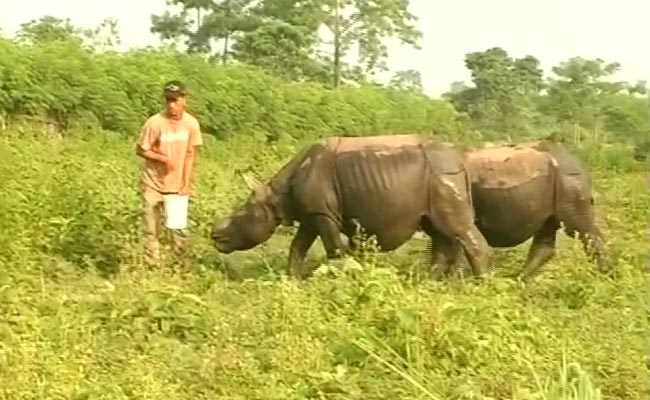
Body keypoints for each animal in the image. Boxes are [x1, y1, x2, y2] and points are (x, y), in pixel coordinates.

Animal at [210, 134, 491, 279]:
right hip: (438, 178)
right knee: (438, 232)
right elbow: (297, 248)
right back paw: (429, 283)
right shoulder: (313, 214)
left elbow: (334, 250)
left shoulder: (323, 213)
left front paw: (339, 279)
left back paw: (481, 284)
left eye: (240, 215)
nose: (214, 236)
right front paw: (291, 280)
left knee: (456, 229)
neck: (276, 195)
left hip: (442, 175)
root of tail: (461, 159)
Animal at [430, 140, 608, 282]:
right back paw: (520, 280)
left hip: (569, 178)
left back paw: (605, 276)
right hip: (559, 180)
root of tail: (577, 162)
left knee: (580, 228)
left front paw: (454, 283)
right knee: (548, 231)